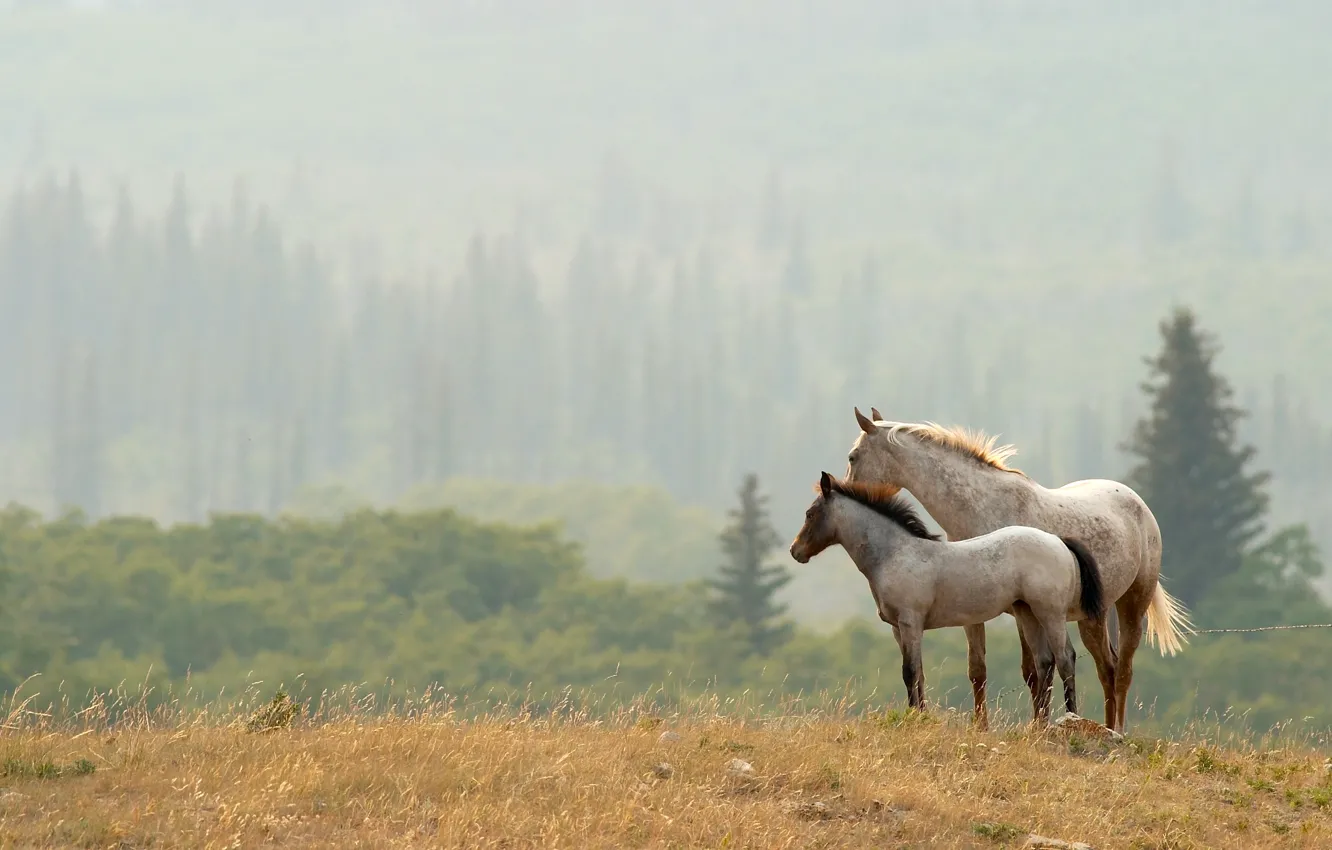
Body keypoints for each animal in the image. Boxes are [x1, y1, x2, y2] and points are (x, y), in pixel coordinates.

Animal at [789, 471, 1106, 724]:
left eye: (810, 514)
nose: (795, 551)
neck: (895, 553)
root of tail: (1058, 541)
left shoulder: (910, 623)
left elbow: (909, 671)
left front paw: (915, 719)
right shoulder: (898, 629)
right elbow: (918, 673)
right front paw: (920, 715)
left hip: (1050, 613)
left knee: (1065, 658)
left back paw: (1070, 719)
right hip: (1026, 612)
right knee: (1044, 663)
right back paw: (1038, 727)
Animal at [844, 407, 1194, 732]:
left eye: (852, 456)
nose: (844, 490)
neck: (984, 507)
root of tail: (1139, 505)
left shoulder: (1022, 611)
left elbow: (1036, 670)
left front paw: (1039, 724)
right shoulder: (976, 612)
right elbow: (981, 670)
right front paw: (984, 727)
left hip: (1132, 605)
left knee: (1121, 671)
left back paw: (1116, 731)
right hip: (1092, 617)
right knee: (1106, 668)